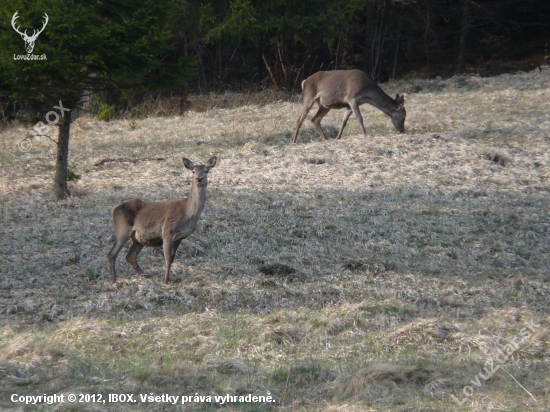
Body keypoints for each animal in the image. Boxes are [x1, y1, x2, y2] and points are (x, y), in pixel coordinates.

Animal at [108, 155, 218, 284]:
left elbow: (172, 258)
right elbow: (167, 259)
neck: (188, 214)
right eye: (193, 171)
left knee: (130, 256)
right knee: (112, 254)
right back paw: (114, 280)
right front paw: (165, 281)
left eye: (206, 170)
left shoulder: (181, 236)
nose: (199, 179)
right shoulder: (167, 232)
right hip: (122, 229)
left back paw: (145, 275)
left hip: (137, 239)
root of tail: (114, 210)